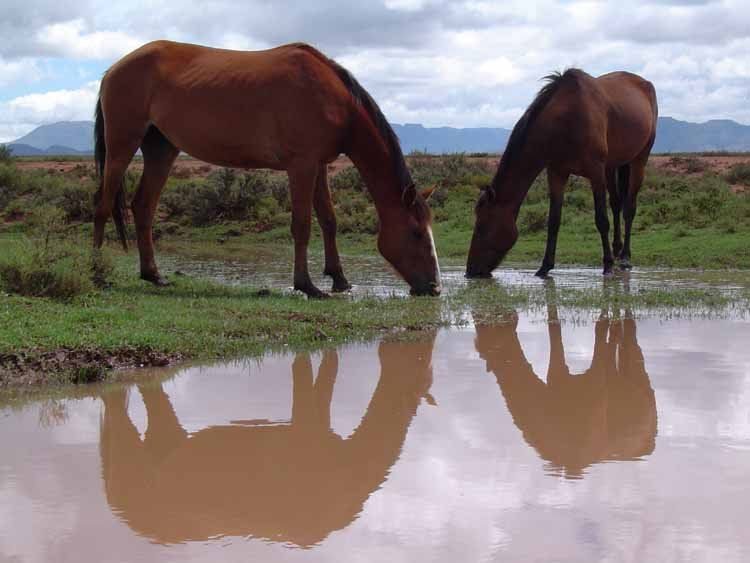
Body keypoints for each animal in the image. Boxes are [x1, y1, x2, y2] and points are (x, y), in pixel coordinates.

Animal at [97, 41, 444, 298]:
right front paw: (308, 286)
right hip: (122, 146)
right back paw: (96, 273)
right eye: (416, 232)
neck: (334, 99)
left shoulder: (319, 165)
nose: (435, 288)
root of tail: (113, 69)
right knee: (102, 203)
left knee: (143, 206)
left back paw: (153, 275)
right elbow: (302, 225)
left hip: (161, 149)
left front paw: (340, 280)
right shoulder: (301, 166)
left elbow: (329, 220)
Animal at [468, 69, 660, 278]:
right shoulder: (557, 173)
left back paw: (624, 257)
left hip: (639, 160)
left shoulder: (595, 173)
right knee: (617, 204)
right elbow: (553, 221)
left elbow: (601, 220)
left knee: (628, 209)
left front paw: (607, 265)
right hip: (613, 166)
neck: (567, 120)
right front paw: (544, 267)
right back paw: (617, 249)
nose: (470, 271)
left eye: (482, 227)